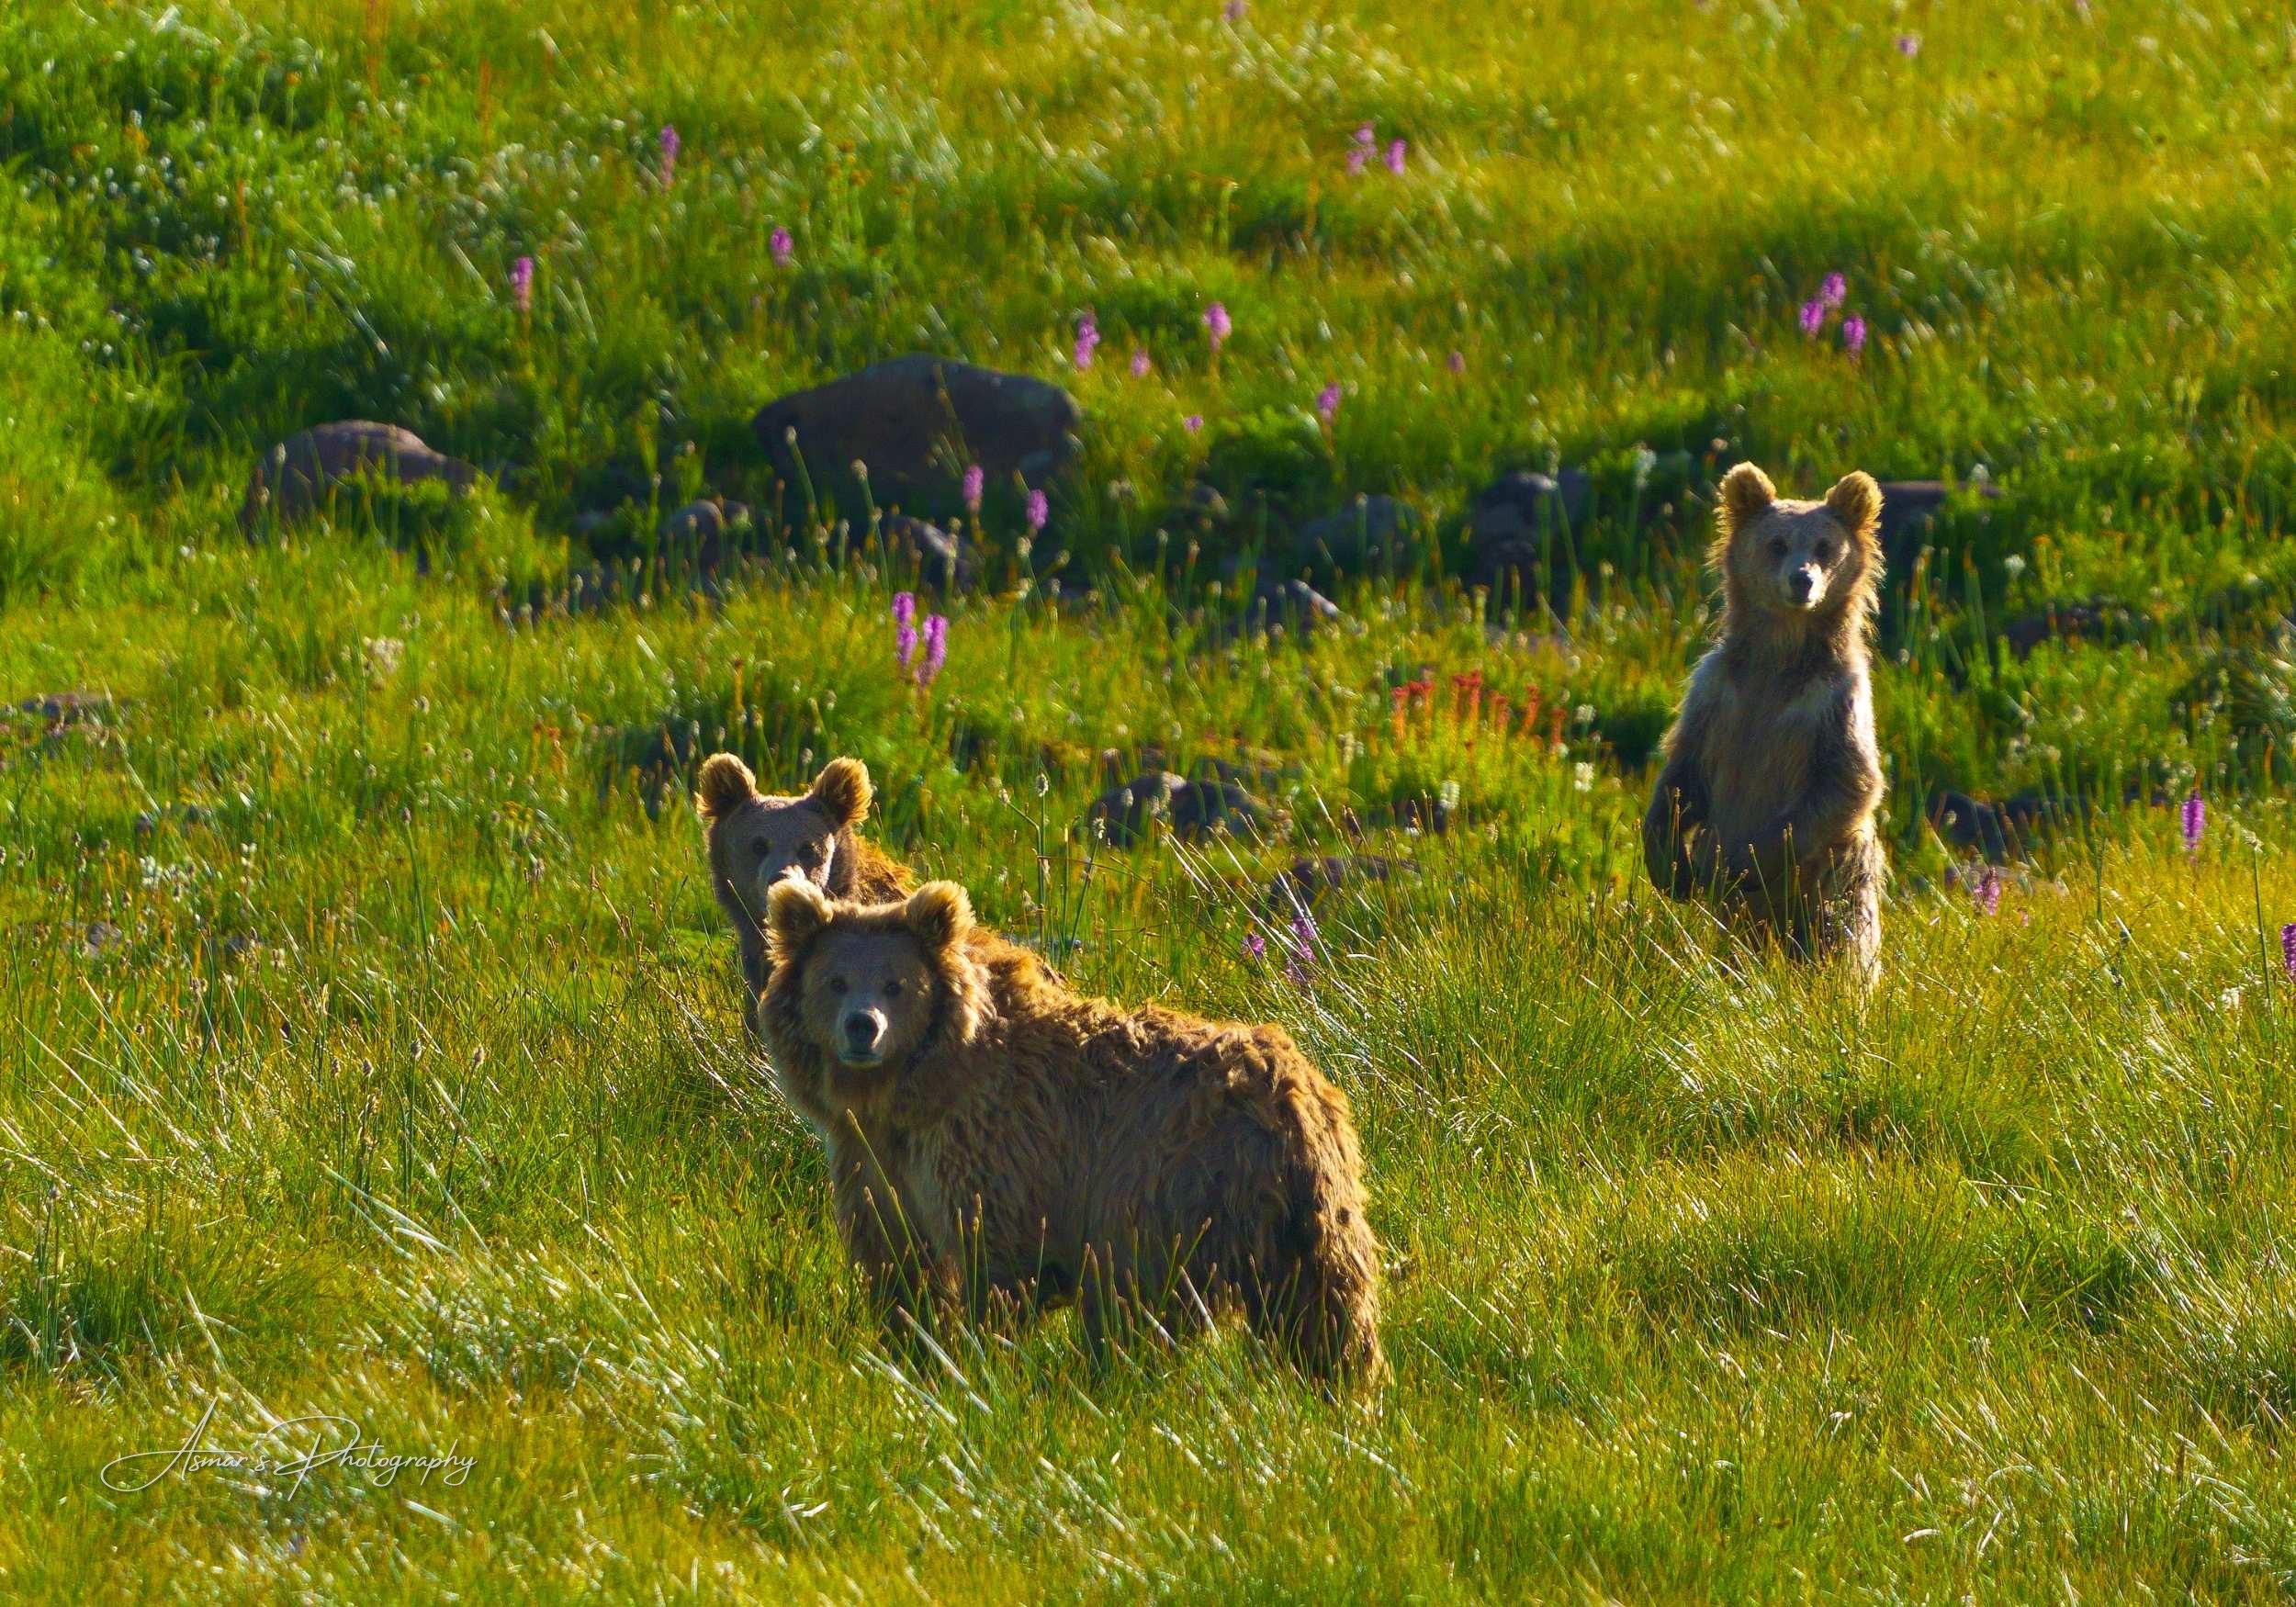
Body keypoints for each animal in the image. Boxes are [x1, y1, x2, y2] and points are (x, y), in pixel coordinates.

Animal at [758, 876, 1386, 1383]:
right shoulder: (874, 1160)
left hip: (1164, 1187)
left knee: (1142, 1298)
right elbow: (897, 1260)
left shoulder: (997, 1149)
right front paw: (908, 1347)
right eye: (835, 980)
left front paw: (977, 1354)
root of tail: (1299, 1091)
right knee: (1322, 1303)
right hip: (1303, 1207)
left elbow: (995, 1262)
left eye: (896, 983)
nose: (862, 1027)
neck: (911, 1093)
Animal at [1642, 462, 1888, 981]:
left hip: (1834, 878)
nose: (1802, 580)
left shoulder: (1833, 705)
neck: (1779, 660)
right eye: (1776, 542)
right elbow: (1682, 772)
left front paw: (1736, 865)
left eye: (1824, 546)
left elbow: (1848, 782)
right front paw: (1671, 867)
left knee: (1842, 932)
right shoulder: (1716, 694)